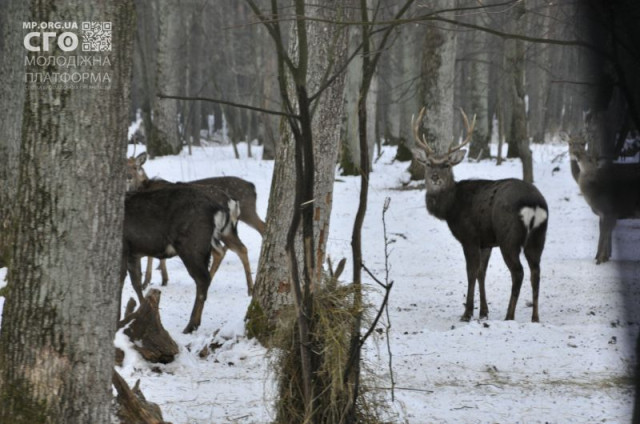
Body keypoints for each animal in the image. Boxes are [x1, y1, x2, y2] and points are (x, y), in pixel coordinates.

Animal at [123, 184, 240, 333]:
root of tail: (219, 209)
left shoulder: (123, 248)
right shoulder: (133, 254)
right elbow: (136, 283)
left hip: (191, 246)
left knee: (203, 279)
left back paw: (191, 325)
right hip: (204, 247)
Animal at [411, 107, 548, 323]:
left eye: (447, 165)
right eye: (428, 163)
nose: (435, 178)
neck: (451, 207)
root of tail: (534, 203)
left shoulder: (470, 237)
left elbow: (471, 272)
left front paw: (467, 313)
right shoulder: (487, 241)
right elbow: (482, 273)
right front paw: (483, 311)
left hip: (509, 237)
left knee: (518, 272)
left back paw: (509, 316)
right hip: (538, 237)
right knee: (536, 271)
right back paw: (535, 317)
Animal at [567, 133, 640, 264]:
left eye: (583, 143)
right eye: (569, 143)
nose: (576, 154)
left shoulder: (610, 211)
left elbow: (605, 233)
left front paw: (600, 259)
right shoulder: (604, 214)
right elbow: (603, 232)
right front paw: (603, 256)